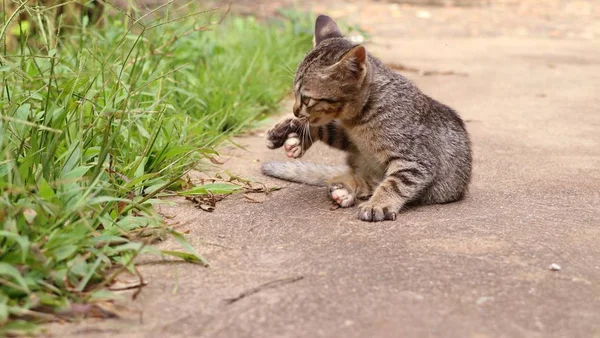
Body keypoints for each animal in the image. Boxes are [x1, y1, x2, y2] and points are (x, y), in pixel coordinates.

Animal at [262, 15, 474, 222]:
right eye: (294, 94)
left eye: (306, 99)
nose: (295, 111)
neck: (357, 119)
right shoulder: (350, 137)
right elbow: (326, 127)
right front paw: (293, 132)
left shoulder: (416, 162)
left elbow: (394, 183)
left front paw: (377, 205)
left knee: (371, 183)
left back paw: (345, 192)